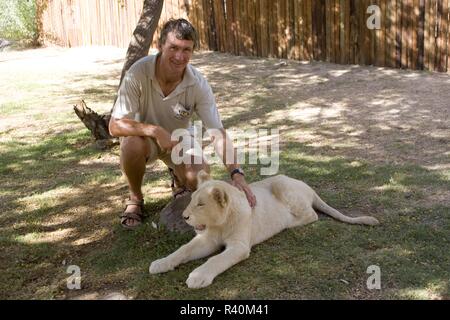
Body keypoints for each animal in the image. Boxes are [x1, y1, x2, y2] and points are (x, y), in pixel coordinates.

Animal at [149, 171, 378, 288]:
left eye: (201, 204)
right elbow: (183, 250)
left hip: (282, 185)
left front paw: (198, 277)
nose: (184, 216)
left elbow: (216, 259)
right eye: (192, 200)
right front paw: (160, 263)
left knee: (311, 215)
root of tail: (308, 187)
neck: (219, 224)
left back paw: (287, 222)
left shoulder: (239, 246)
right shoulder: (206, 240)